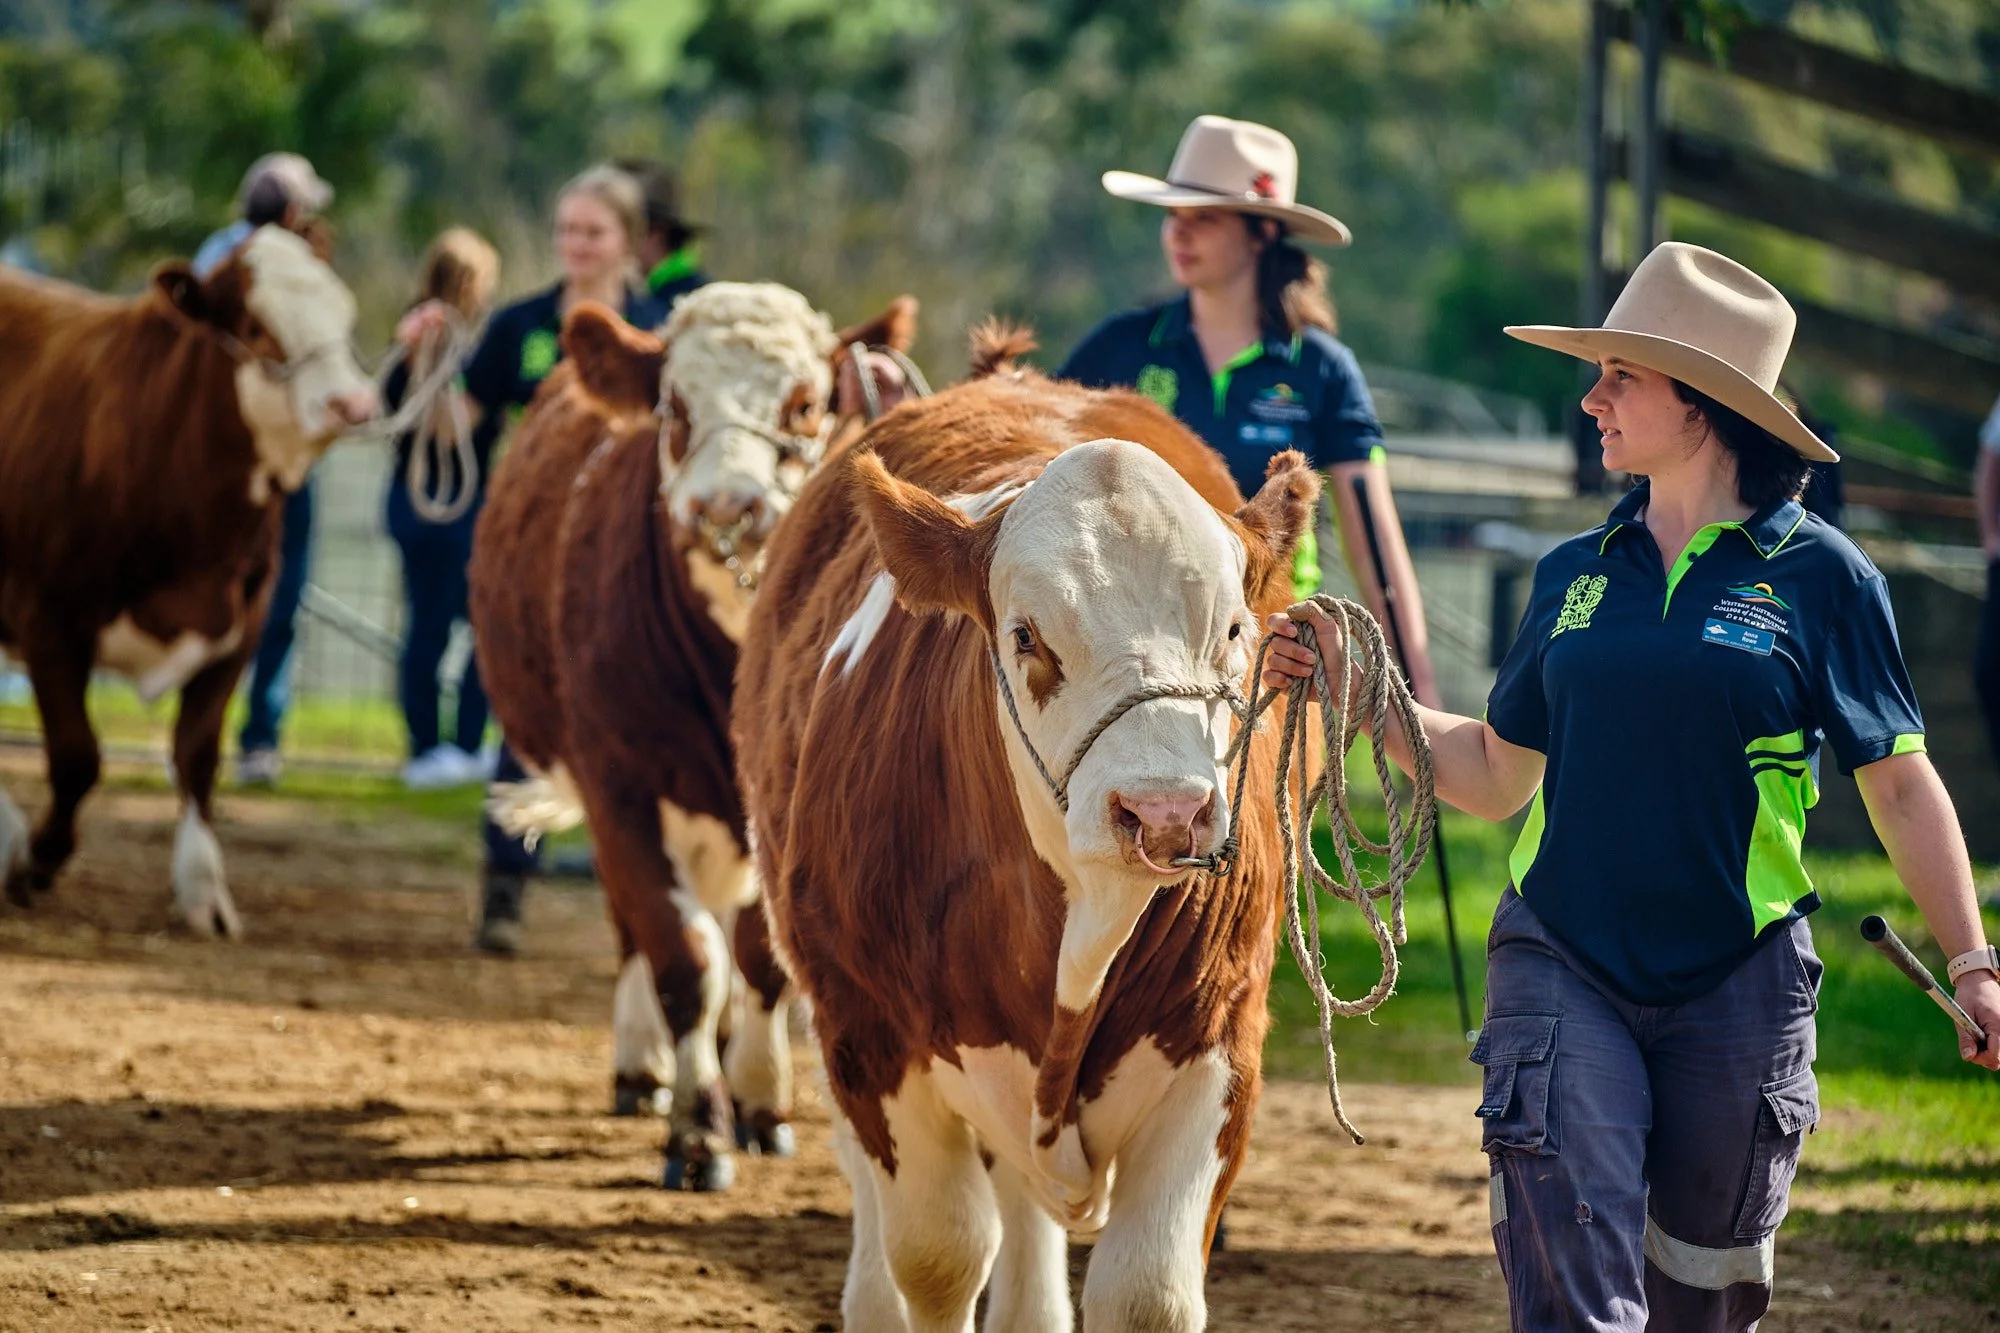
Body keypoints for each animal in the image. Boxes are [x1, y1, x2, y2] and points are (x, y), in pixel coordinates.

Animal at [0, 227, 380, 937]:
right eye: (257, 327)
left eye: (344, 310)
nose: (355, 404)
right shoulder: (52, 623)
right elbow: (77, 756)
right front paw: (37, 857)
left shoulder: (241, 628)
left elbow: (198, 755)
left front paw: (204, 888)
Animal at [469, 282, 918, 1191]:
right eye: (675, 406)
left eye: (805, 403)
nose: (725, 507)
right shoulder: (621, 788)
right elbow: (683, 958)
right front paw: (697, 1128)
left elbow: (759, 958)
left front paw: (759, 1098)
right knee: (636, 932)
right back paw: (643, 1066)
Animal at [734, 327, 1318, 1330]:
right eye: (1025, 637)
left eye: (1238, 630)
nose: (1166, 811)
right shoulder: (870, 1033)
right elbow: (937, 1257)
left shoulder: (1217, 1042)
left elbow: (1149, 1292)